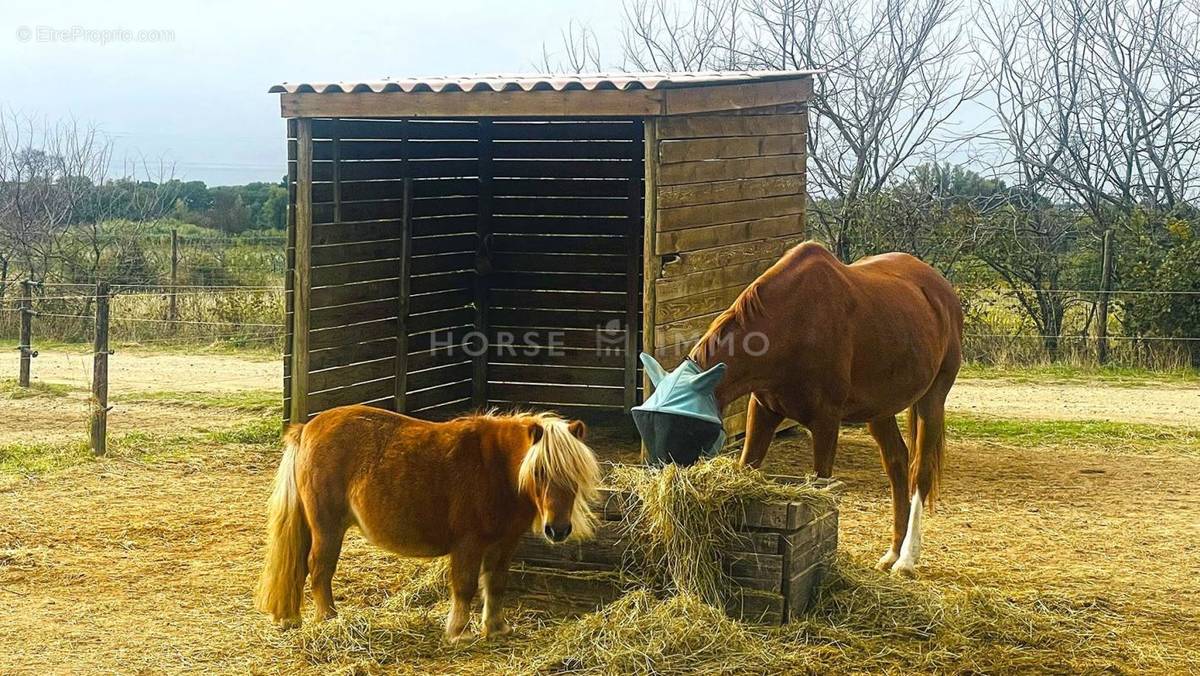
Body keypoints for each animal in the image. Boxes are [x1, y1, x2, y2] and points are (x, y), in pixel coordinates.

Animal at [254, 405, 600, 643]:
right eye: (539, 471)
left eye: (575, 474)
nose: (558, 529)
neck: (497, 468)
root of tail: (307, 427)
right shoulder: (468, 544)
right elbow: (465, 587)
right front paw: (459, 632)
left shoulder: (504, 544)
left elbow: (496, 584)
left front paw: (496, 628)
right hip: (327, 527)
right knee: (319, 569)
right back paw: (329, 619)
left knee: (301, 566)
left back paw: (293, 619)